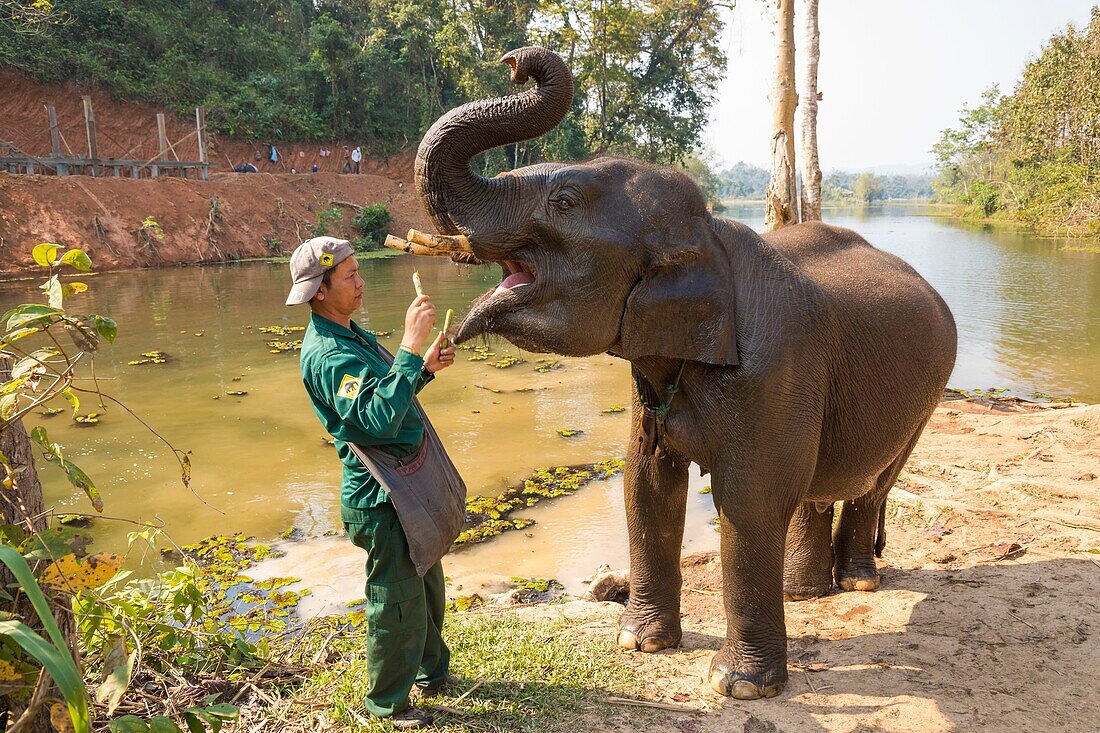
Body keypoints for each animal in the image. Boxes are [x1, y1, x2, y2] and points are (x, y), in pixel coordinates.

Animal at [402, 45, 954, 695]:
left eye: (564, 200)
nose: (515, 61)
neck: (709, 233)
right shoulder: (652, 378)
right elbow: (646, 484)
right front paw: (639, 644)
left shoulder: (774, 372)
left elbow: (749, 500)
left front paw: (738, 685)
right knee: (819, 483)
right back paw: (806, 591)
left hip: (928, 394)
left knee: (875, 480)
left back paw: (856, 582)